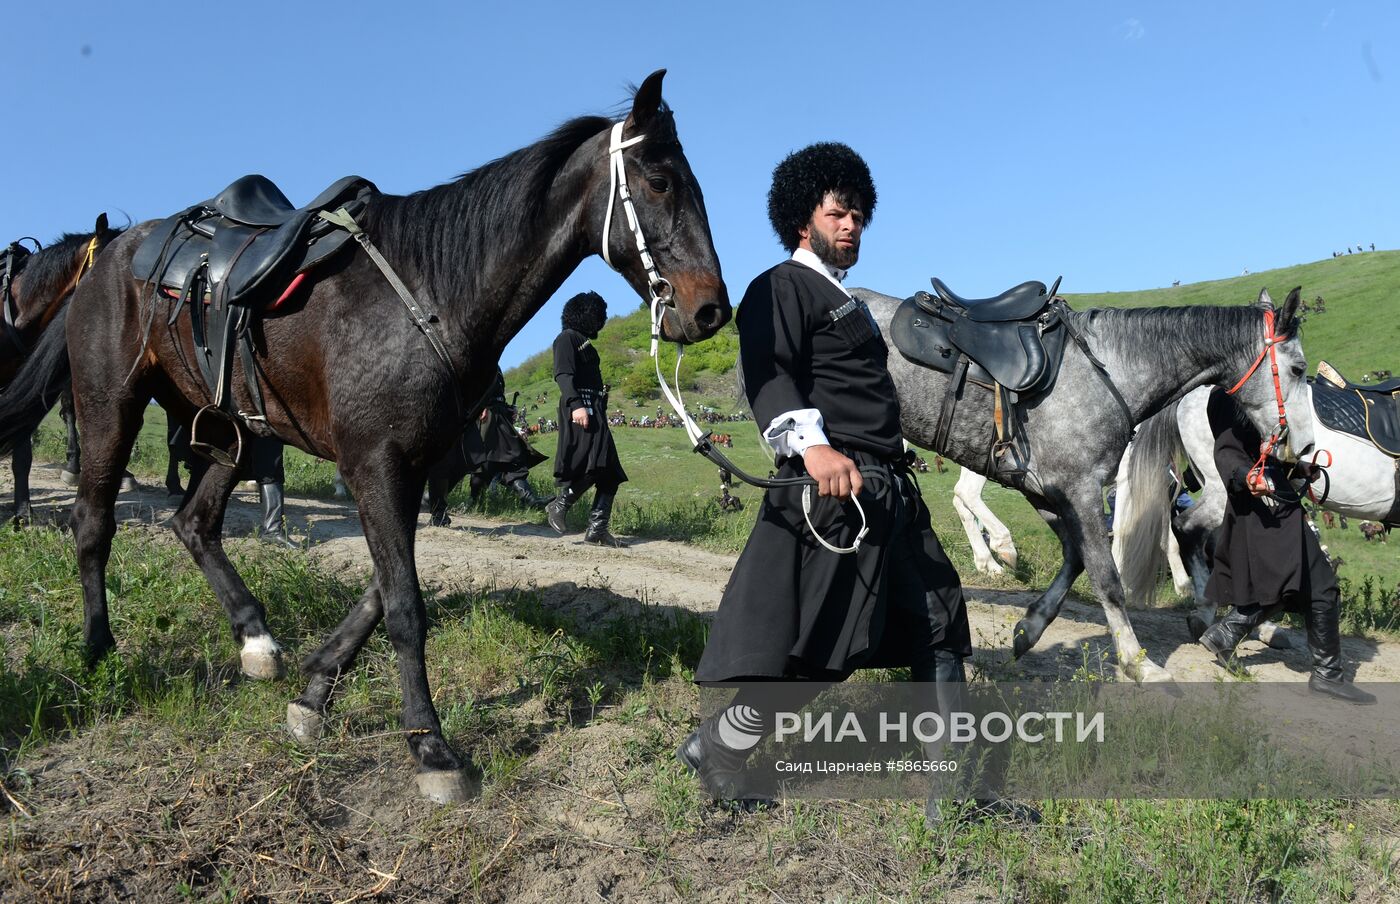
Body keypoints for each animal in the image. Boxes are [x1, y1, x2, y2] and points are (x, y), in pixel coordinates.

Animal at [2, 72, 733, 806]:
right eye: (660, 181)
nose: (711, 310)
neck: (435, 293)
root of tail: (114, 252)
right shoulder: (375, 464)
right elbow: (404, 604)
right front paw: (430, 745)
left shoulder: (408, 464)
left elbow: (382, 589)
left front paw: (316, 690)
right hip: (110, 407)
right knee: (93, 521)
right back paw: (100, 649)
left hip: (234, 431)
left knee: (194, 524)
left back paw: (255, 638)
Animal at [851, 286, 1310, 682]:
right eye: (1299, 368)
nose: (1304, 447)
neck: (1111, 374)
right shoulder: (1080, 489)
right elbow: (1107, 577)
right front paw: (1137, 661)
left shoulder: (1048, 490)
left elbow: (1076, 558)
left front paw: (1031, 627)